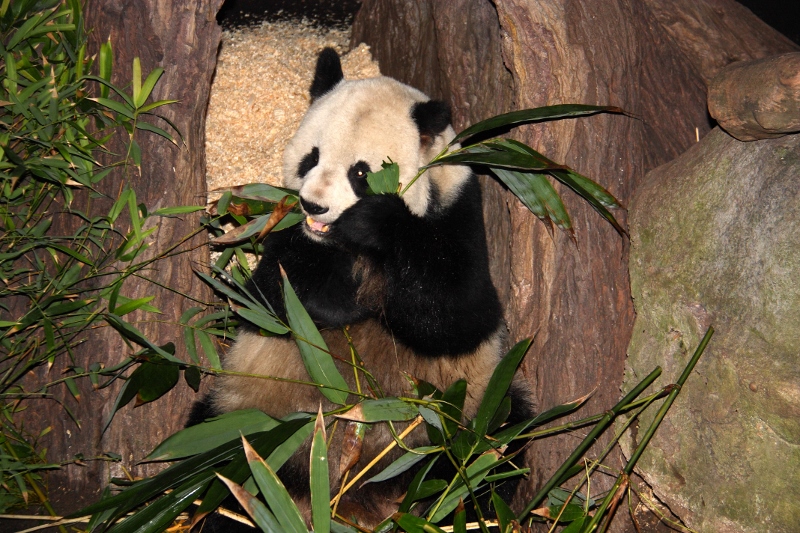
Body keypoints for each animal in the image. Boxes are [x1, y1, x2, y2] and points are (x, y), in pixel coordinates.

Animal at [194, 47, 532, 528]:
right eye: (310, 157)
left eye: (360, 172)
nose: (314, 205)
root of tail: (357, 494)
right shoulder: (288, 233)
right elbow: (271, 298)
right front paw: (345, 301)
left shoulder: (458, 214)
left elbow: (456, 316)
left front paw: (378, 223)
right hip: (250, 413)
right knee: (220, 458)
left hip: (470, 411)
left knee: (497, 444)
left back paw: (453, 503)